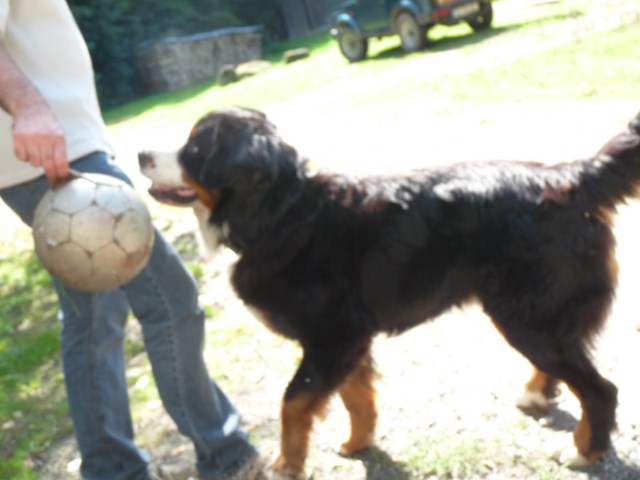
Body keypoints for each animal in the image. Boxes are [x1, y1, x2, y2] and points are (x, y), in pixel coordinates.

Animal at [141, 107, 640, 478]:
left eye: (194, 146)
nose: (142, 152)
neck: (280, 215)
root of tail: (568, 178)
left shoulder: (331, 338)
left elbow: (293, 402)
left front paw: (286, 465)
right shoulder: (348, 340)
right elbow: (355, 396)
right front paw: (357, 443)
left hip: (526, 316)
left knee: (600, 390)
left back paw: (585, 451)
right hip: (531, 314)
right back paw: (537, 393)